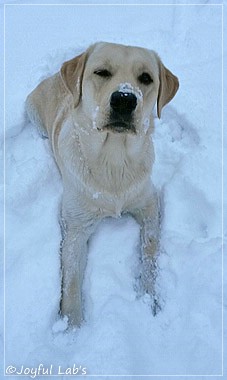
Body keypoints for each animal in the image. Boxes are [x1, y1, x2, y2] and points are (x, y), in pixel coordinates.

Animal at [25, 41, 179, 326]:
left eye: (146, 78)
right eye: (102, 72)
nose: (124, 99)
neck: (114, 161)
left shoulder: (149, 204)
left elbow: (150, 253)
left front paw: (151, 299)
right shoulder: (75, 227)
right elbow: (71, 282)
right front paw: (71, 327)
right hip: (33, 113)